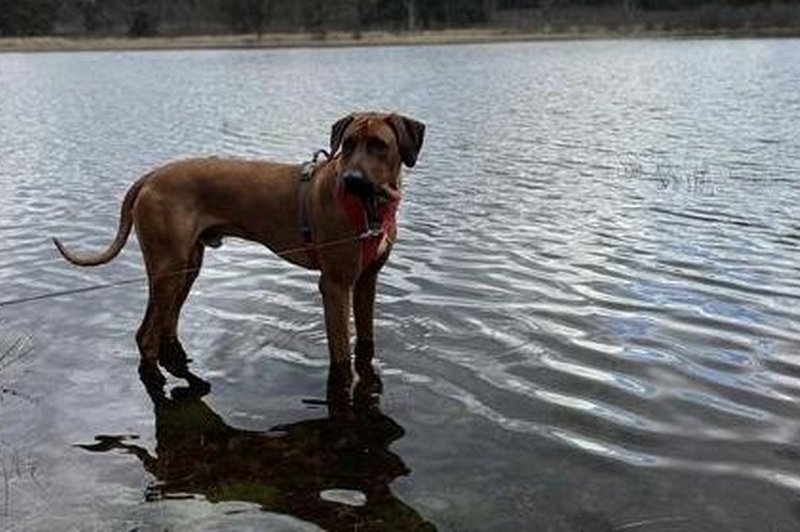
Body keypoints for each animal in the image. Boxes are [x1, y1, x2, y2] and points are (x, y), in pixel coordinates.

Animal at [54, 112, 424, 394]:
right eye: (347, 145)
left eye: (379, 146)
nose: (352, 180)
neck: (370, 208)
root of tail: (151, 176)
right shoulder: (335, 285)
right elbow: (341, 356)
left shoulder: (366, 281)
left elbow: (366, 341)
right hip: (167, 268)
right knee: (145, 335)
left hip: (187, 267)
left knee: (166, 325)